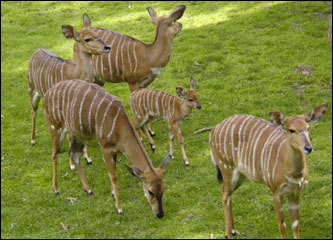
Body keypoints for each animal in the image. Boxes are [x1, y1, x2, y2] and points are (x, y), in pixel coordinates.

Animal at [27, 13, 110, 169]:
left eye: (96, 34)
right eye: (87, 39)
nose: (108, 46)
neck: (75, 73)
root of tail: (37, 50)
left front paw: (88, 158)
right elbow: (70, 135)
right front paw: (72, 164)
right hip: (32, 90)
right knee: (33, 111)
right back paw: (33, 140)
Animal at [42, 79, 170, 218]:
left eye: (164, 188)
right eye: (150, 191)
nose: (160, 214)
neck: (120, 127)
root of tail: (48, 92)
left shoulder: (114, 150)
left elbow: (113, 171)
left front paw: (113, 195)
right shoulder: (104, 146)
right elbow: (113, 175)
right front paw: (119, 208)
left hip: (79, 135)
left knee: (73, 154)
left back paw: (89, 190)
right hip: (55, 127)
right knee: (54, 155)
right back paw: (55, 189)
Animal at [209, 103, 326, 238]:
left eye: (308, 128)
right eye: (291, 130)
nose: (308, 148)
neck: (293, 174)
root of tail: (214, 129)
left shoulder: (296, 194)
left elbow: (295, 225)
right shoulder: (275, 192)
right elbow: (282, 226)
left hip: (240, 175)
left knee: (229, 194)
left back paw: (234, 230)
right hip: (227, 168)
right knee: (224, 194)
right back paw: (229, 234)